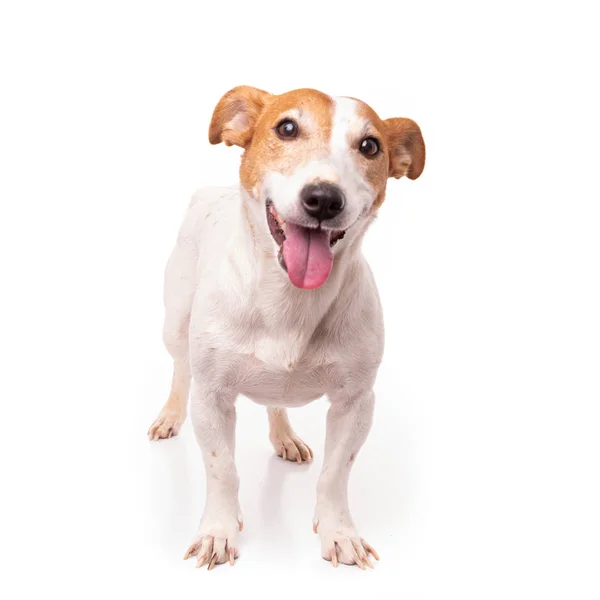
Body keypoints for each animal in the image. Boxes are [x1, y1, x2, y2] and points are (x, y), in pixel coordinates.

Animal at [147, 86, 424, 568]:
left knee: (275, 402)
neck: (290, 301)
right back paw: (169, 415)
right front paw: (218, 532)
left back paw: (285, 437)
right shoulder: (212, 397)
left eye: (370, 146)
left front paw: (339, 533)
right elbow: (222, 469)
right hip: (174, 322)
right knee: (181, 368)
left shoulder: (356, 402)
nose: (324, 198)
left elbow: (335, 473)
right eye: (287, 127)